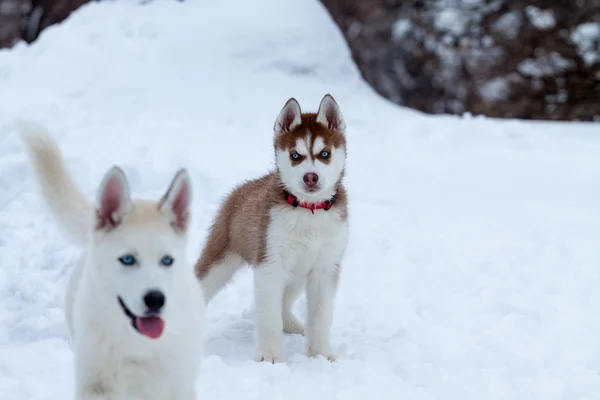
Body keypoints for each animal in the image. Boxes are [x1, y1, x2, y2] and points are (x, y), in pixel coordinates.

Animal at [18, 122, 204, 400]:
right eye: (127, 259)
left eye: (167, 260)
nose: (156, 299)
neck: (137, 346)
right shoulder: (96, 387)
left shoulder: (176, 387)